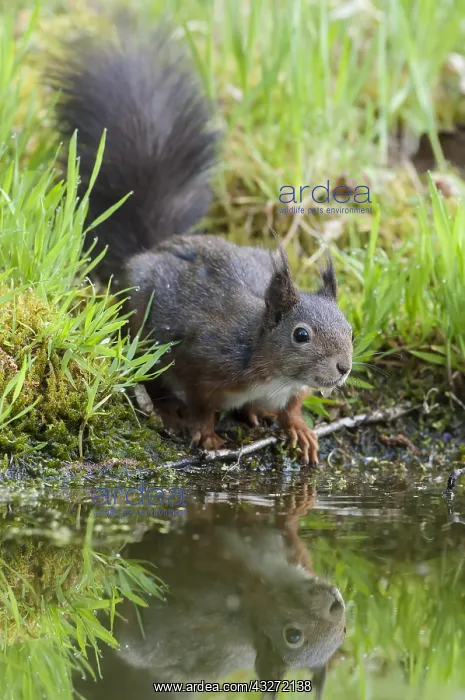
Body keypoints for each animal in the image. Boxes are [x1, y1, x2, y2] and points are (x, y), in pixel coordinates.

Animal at [51, 27, 353, 463]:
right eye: (301, 335)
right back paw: (169, 413)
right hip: (141, 333)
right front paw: (206, 435)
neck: (270, 368)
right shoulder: (202, 362)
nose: (344, 367)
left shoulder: (289, 389)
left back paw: (256, 412)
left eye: (349, 328)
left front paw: (298, 428)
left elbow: (293, 406)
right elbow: (202, 404)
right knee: (153, 381)